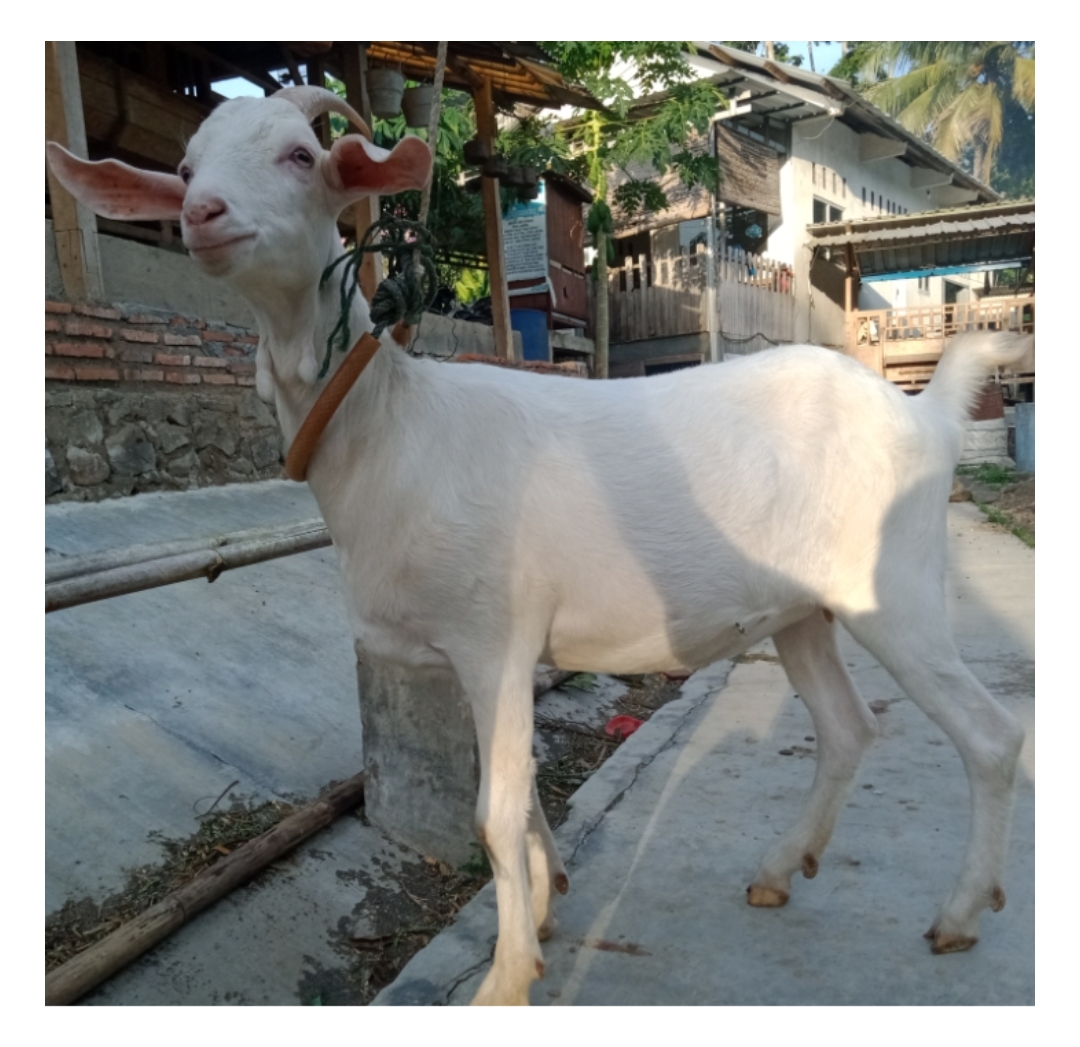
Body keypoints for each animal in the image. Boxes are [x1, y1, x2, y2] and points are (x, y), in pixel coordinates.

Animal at [47, 86, 1031, 1006]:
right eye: (184, 167)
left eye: (298, 154)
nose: (201, 214)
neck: (395, 425)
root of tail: (927, 415)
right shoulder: (469, 653)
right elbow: (511, 797)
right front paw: (549, 895)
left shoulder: (496, 634)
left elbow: (495, 808)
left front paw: (507, 973)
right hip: (803, 608)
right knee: (846, 728)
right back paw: (779, 870)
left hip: (894, 588)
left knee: (989, 735)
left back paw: (957, 913)